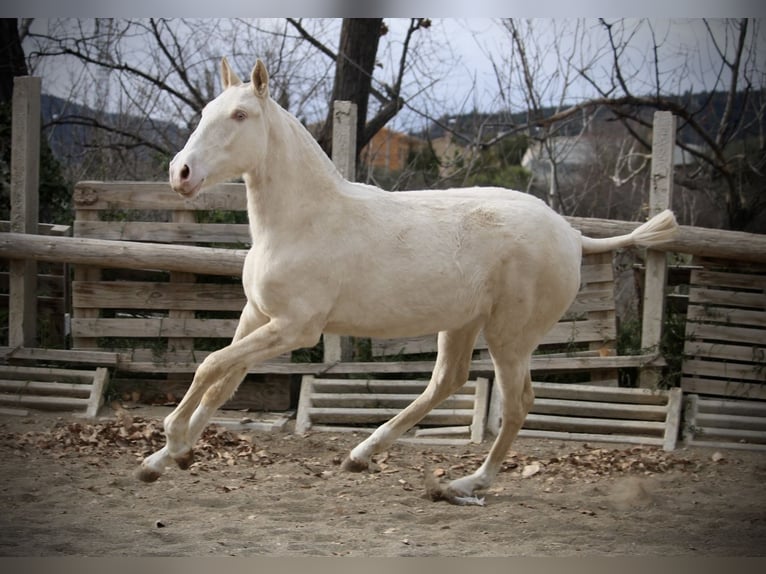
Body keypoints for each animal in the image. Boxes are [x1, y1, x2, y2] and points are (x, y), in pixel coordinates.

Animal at [138, 58, 680, 506]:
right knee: (447, 381)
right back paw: (361, 455)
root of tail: (571, 234)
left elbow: (209, 365)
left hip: (510, 337)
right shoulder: (258, 315)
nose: (180, 173)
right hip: (463, 324)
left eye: (240, 116)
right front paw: (163, 461)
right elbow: (221, 383)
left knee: (517, 403)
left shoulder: (296, 328)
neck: (302, 221)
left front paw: (172, 441)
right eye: (207, 110)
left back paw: (466, 483)